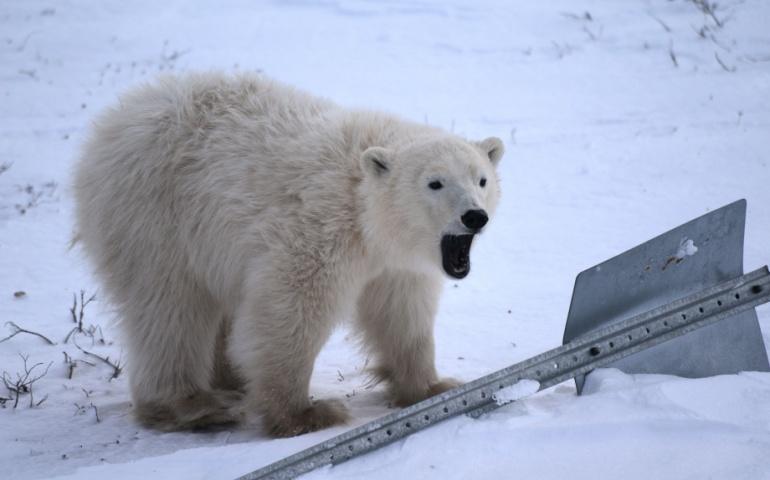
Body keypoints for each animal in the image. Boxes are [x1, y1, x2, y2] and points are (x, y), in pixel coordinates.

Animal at [73, 72, 503, 437]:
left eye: (481, 179)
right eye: (435, 183)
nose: (474, 216)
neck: (362, 203)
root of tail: (114, 121)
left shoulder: (395, 262)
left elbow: (401, 314)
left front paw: (434, 387)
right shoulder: (318, 227)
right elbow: (292, 309)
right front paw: (305, 413)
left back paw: (228, 381)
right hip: (153, 213)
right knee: (170, 306)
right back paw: (195, 406)